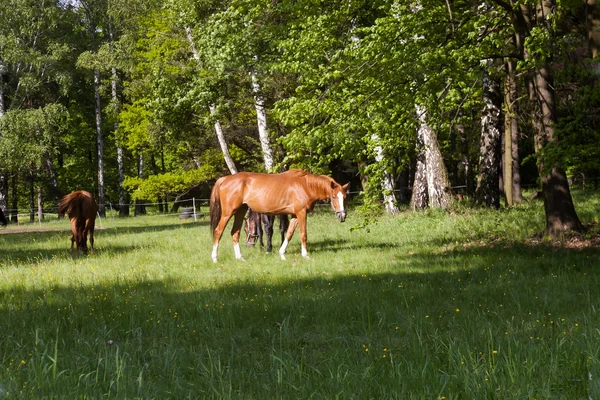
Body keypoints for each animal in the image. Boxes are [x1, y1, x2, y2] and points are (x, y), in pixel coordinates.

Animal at [211, 169, 350, 262]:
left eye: (344, 197)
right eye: (333, 197)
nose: (342, 216)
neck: (305, 185)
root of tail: (224, 179)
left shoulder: (294, 215)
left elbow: (289, 233)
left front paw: (282, 254)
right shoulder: (301, 213)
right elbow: (303, 235)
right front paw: (305, 255)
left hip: (240, 211)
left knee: (235, 232)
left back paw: (240, 258)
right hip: (228, 213)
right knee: (218, 231)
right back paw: (215, 258)